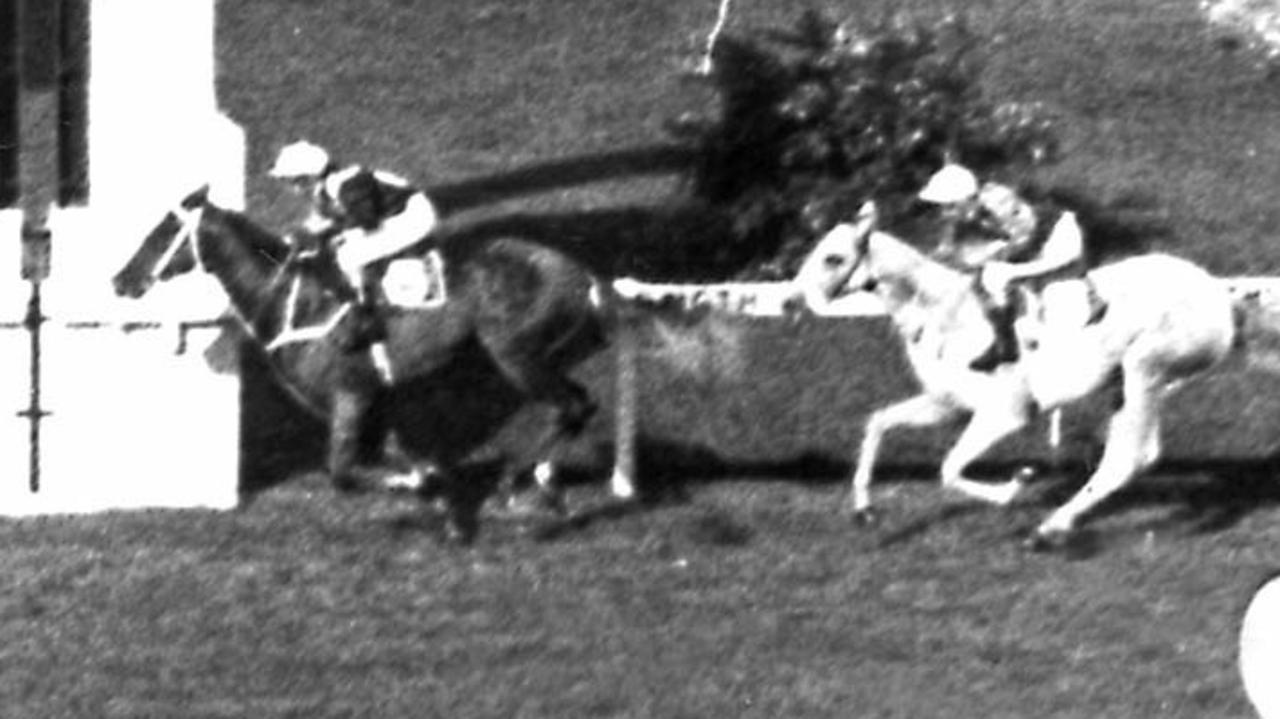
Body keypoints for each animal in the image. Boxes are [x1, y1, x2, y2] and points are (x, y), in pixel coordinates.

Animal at [112, 184, 637, 537]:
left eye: (162, 232)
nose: (121, 280)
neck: (291, 300)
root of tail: (584, 276)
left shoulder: (350, 396)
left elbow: (344, 474)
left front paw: (434, 495)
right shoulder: (373, 402)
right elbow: (399, 460)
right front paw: (437, 495)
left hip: (517, 356)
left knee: (572, 405)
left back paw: (522, 486)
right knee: (575, 407)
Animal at [788, 202, 1269, 547]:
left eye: (833, 258)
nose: (792, 300)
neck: (946, 314)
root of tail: (1221, 296)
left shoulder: (1006, 412)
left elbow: (949, 467)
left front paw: (1013, 487)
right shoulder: (948, 404)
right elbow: (879, 423)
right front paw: (864, 508)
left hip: (1145, 368)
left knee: (1128, 458)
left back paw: (1048, 528)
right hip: (1128, 382)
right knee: (1136, 455)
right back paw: (1056, 525)